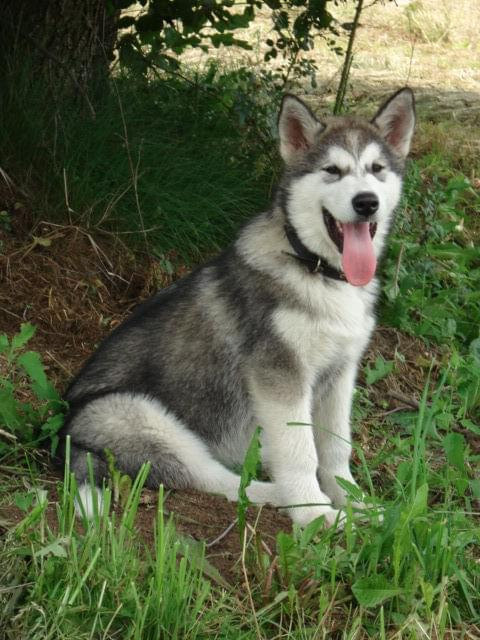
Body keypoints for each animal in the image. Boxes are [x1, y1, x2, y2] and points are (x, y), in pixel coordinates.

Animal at [62, 87, 414, 524]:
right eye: (332, 170)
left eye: (377, 168)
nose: (366, 202)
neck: (317, 271)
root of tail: (62, 435)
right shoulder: (279, 375)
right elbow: (301, 452)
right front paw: (317, 514)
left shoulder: (339, 373)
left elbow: (335, 447)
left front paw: (357, 503)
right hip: (138, 416)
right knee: (213, 478)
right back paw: (279, 494)